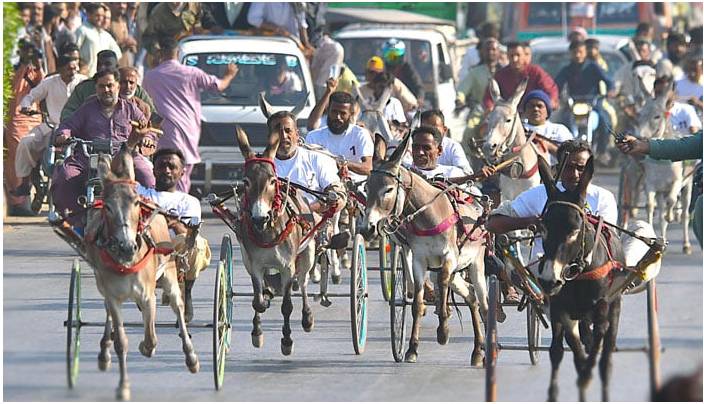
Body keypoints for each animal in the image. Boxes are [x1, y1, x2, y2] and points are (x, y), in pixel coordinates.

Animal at [84, 147, 198, 400]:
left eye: (136, 202)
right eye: (107, 206)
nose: (127, 246)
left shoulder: (148, 296)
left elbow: (151, 338)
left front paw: (146, 348)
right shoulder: (112, 297)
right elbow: (121, 342)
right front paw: (123, 386)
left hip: (171, 275)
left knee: (178, 306)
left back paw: (190, 355)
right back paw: (104, 350)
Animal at [234, 128, 316, 356]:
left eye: (272, 181)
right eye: (246, 181)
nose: (259, 218)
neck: (268, 231)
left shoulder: (288, 267)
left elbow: (287, 306)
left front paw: (287, 340)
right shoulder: (254, 265)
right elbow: (257, 301)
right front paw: (257, 333)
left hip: (308, 253)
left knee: (304, 282)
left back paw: (307, 318)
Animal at [358, 133, 490, 366]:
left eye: (388, 190)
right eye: (366, 189)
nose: (367, 228)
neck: (428, 215)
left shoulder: (449, 258)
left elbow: (442, 282)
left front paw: (443, 332)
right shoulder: (418, 260)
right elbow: (417, 304)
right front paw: (412, 349)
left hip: (476, 265)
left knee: (483, 304)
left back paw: (487, 350)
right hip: (455, 273)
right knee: (471, 296)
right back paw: (476, 352)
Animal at [532, 155, 660, 400]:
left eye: (575, 229)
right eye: (543, 227)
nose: (550, 280)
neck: (579, 272)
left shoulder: (603, 306)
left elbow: (598, 341)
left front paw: (587, 374)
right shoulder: (560, 308)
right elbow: (569, 347)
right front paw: (577, 375)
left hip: (615, 305)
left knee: (605, 357)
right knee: (562, 349)